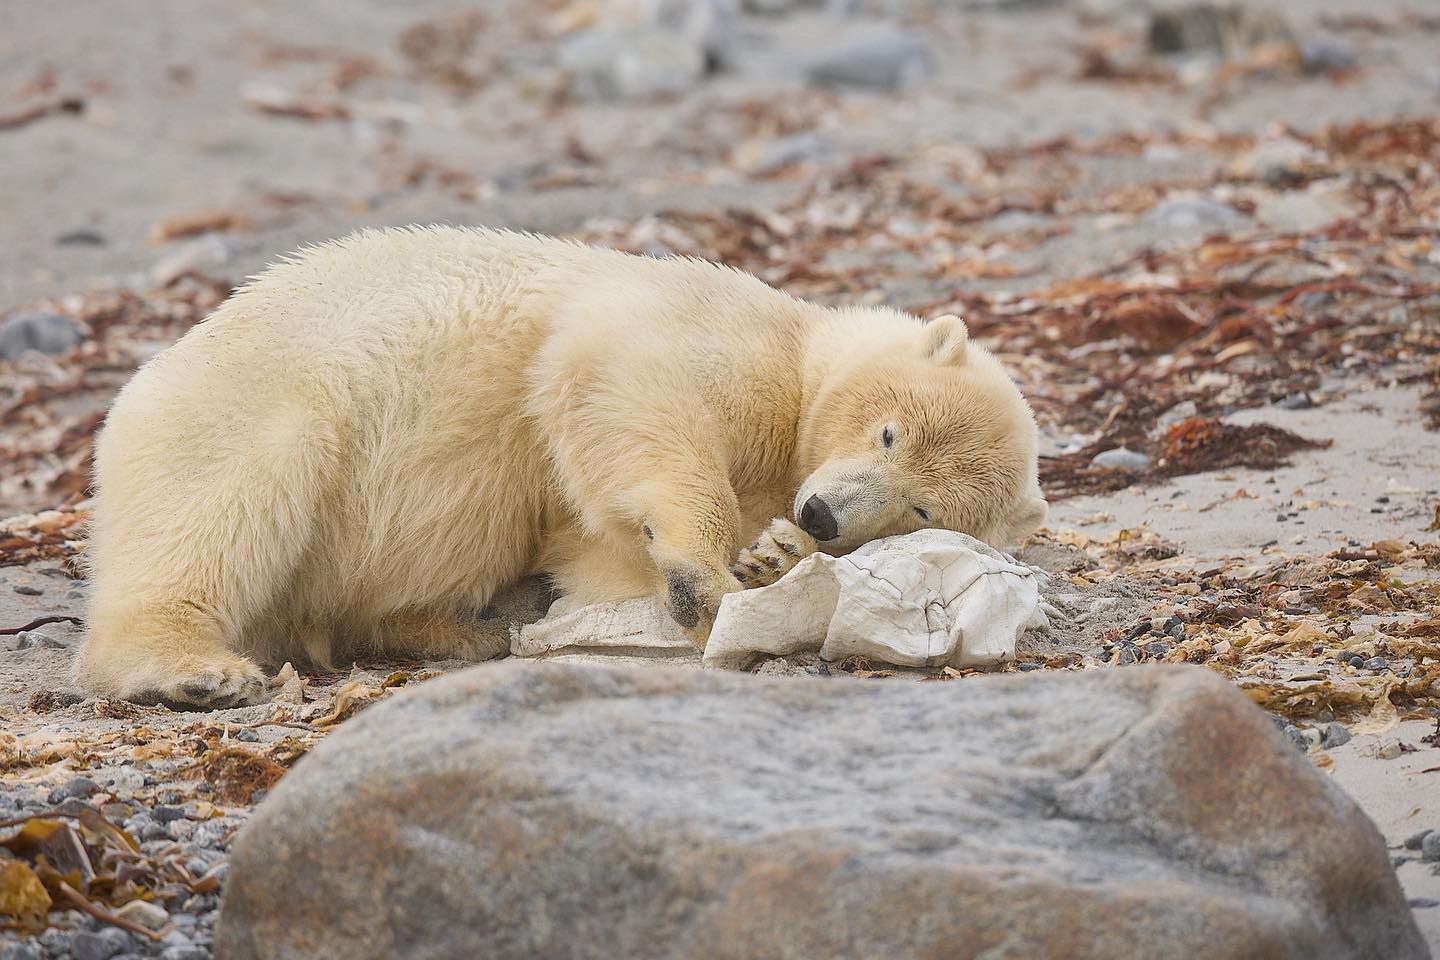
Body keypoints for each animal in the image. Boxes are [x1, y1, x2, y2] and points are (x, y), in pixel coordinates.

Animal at [72, 226, 1047, 708]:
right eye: (888, 433)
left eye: (923, 511)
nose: (823, 518)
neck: (802, 363)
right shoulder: (714, 326)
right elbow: (626, 375)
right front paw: (708, 575)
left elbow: (596, 548)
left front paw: (766, 558)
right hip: (253, 410)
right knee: (219, 509)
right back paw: (200, 669)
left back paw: (454, 626)